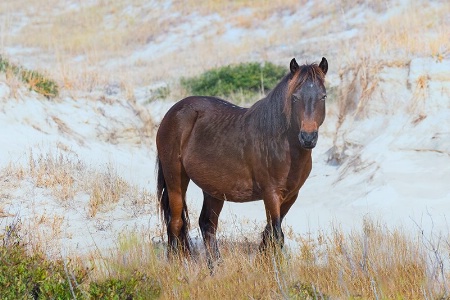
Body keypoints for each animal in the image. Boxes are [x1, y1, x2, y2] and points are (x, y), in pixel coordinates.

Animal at [156, 57, 328, 266]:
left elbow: (268, 234)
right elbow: (277, 235)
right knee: (175, 222)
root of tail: (172, 113)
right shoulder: (271, 194)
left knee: (207, 224)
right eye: (295, 97)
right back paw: (177, 265)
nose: (308, 138)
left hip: (213, 189)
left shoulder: (290, 196)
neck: (280, 142)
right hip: (175, 179)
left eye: (323, 97)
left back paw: (216, 267)